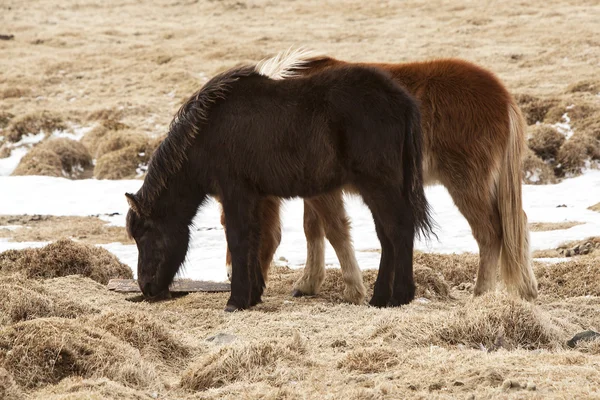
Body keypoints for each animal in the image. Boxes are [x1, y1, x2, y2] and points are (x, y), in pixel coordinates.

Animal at [126, 50, 434, 312]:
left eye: (146, 234)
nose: (147, 287)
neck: (206, 133)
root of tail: (402, 100)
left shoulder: (236, 192)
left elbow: (239, 239)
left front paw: (236, 300)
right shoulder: (256, 196)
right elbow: (256, 238)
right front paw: (252, 295)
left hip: (378, 185)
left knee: (399, 230)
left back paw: (400, 296)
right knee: (387, 236)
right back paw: (379, 297)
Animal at [221, 52, 540, 304]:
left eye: (226, 224)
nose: (228, 274)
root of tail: (502, 98)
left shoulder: (324, 191)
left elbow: (335, 230)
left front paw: (353, 290)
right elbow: (313, 229)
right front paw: (308, 283)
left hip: (466, 184)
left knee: (490, 233)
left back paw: (481, 294)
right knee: (518, 223)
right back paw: (526, 289)